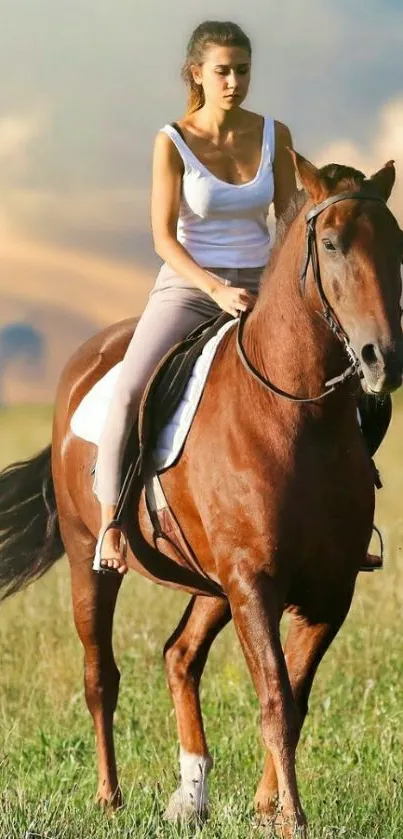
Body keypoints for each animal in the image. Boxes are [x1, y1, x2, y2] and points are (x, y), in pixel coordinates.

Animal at [0, 154, 403, 836]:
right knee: (101, 675)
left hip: (211, 585)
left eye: (396, 242)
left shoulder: (328, 591)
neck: (298, 416)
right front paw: (291, 818)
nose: (383, 360)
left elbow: (295, 697)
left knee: (179, 655)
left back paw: (191, 796)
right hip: (92, 562)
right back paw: (109, 797)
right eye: (330, 244)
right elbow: (275, 700)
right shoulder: (254, 585)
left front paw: (267, 808)